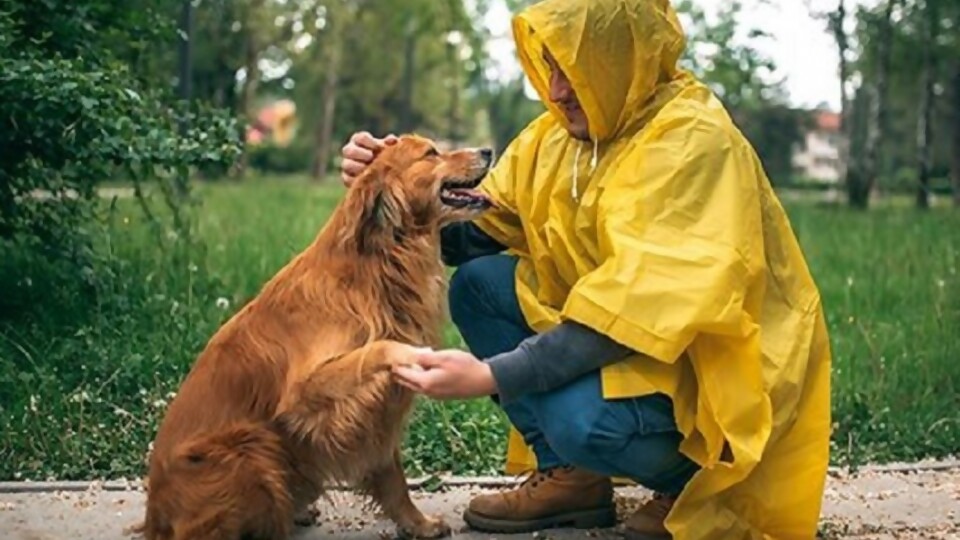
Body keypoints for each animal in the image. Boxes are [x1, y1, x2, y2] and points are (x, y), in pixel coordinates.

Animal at [141, 136, 496, 540]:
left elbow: (392, 474)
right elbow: (379, 348)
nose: (488, 150)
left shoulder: (378, 410)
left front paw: (416, 523)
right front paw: (407, 353)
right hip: (251, 448)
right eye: (431, 153)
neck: (374, 267)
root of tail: (155, 517)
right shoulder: (307, 392)